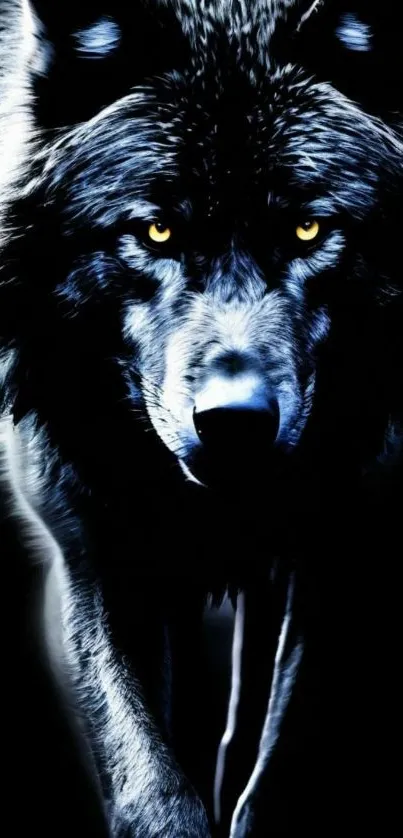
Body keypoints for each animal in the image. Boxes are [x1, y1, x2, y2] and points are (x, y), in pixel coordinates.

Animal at [0, 1, 402, 836]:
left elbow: (281, 753)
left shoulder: (343, 538)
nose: (234, 419)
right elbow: (148, 779)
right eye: (157, 231)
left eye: (308, 230)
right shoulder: (92, 547)